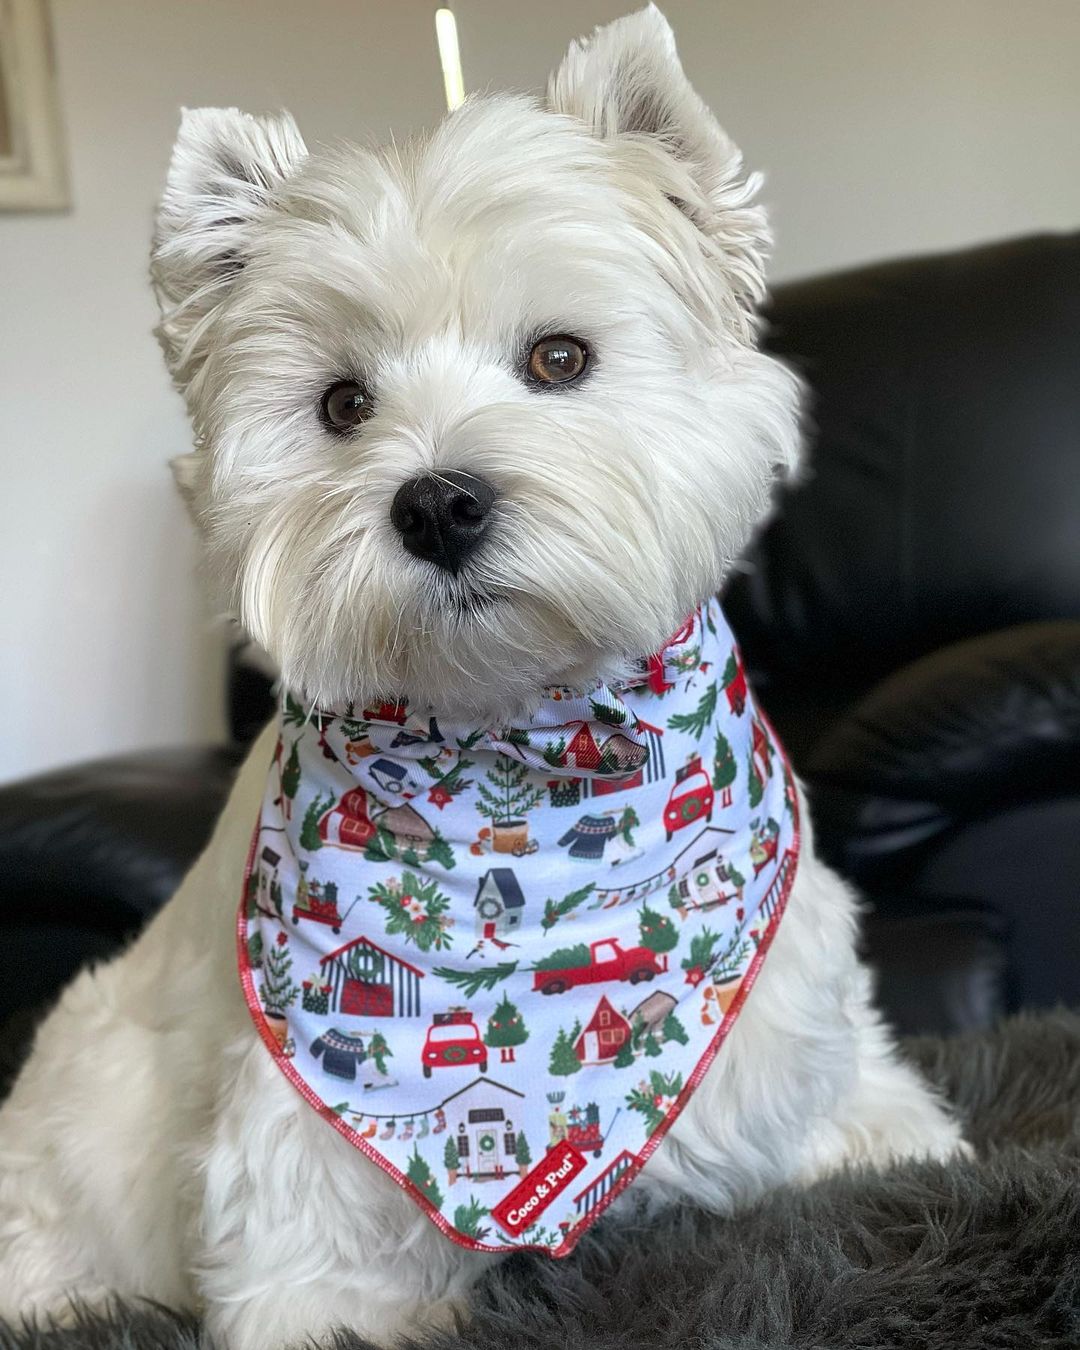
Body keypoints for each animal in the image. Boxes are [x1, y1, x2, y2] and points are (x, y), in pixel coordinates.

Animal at [0, 10, 961, 1350]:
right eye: (341, 403)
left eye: (559, 357)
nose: (439, 503)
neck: (522, 736)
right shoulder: (299, 1149)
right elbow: (315, 1281)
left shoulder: (793, 1028)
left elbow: (865, 1120)